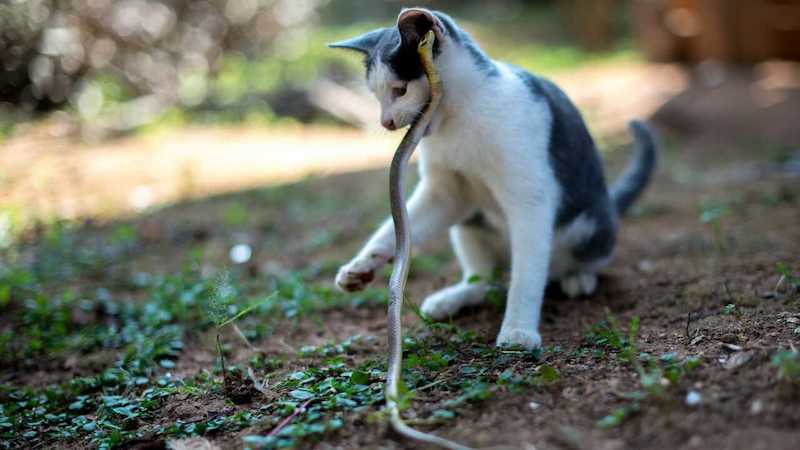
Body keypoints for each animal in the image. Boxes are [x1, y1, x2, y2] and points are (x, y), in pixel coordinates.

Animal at [328, 7, 652, 352]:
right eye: (376, 95)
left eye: (399, 89)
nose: (385, 122)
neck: (459, 119)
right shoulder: (445, 194)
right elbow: (395, 227)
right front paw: (360, 266)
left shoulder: (531, 199)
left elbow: (526, 275)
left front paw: (518, 331)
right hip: (470, 223)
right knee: (483, 278)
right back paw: (452, 298)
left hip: (588, 224)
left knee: (578, 260)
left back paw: (578, 278)